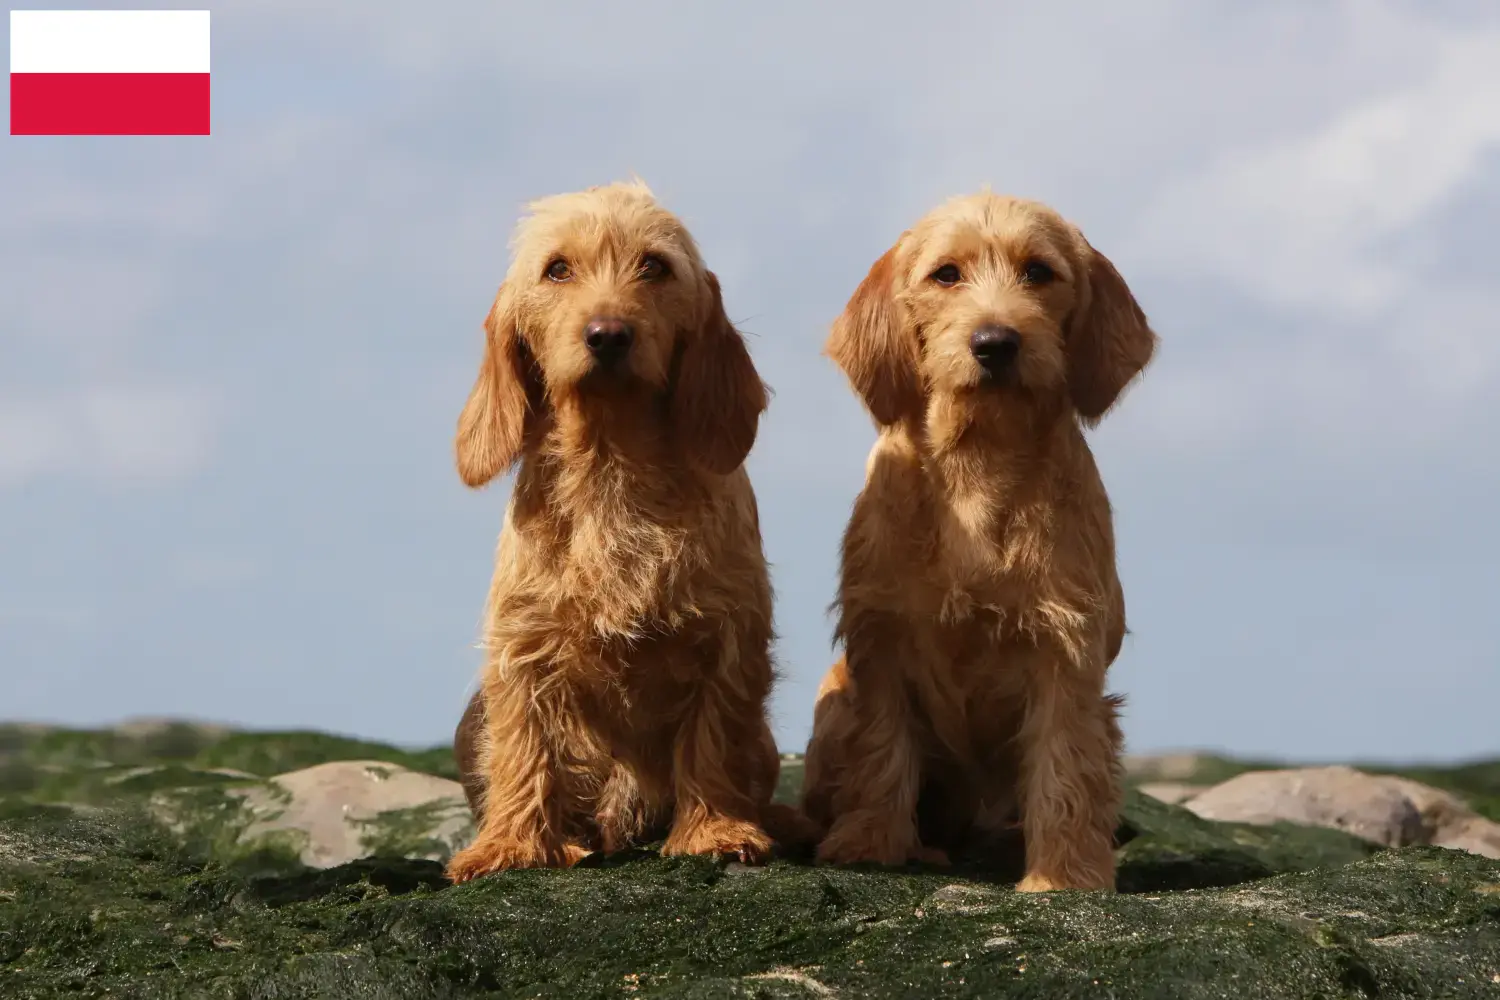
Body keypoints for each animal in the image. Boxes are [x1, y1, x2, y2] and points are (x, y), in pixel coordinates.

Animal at [450, 179, 1152, 893]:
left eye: (653, 267)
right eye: (557, 269)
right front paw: (511, 846)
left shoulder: (1062, 652)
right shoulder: (526, 646)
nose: (996, 341)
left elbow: (1064, 767)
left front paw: (1063, 877)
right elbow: (526, 743)